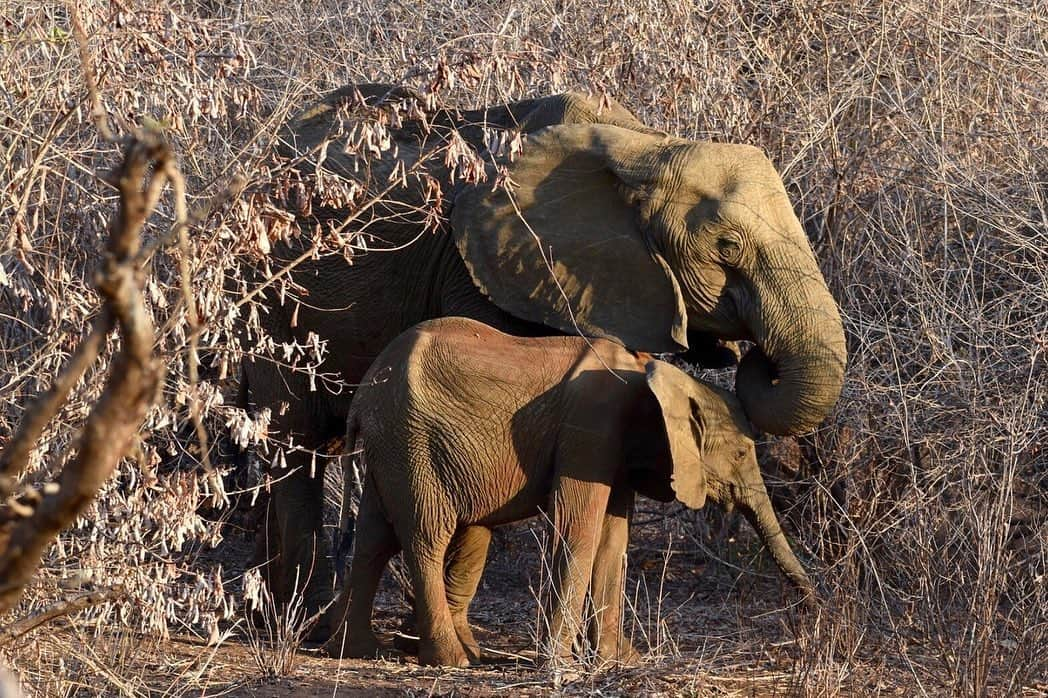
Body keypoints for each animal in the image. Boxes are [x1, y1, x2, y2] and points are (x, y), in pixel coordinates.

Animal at [322, 314, 813, 662]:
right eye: (741, 454)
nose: (812, 609)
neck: (650, 373)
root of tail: (362, 397)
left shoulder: (614, 451)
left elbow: (613, 542)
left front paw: (620, 663)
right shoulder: (591, 426)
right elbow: (580, 531)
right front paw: (560, 664)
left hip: (391, 445)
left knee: (373, 538)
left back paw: (356, 650)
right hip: (411, 441)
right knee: (425, 536)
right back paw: (453, 661)